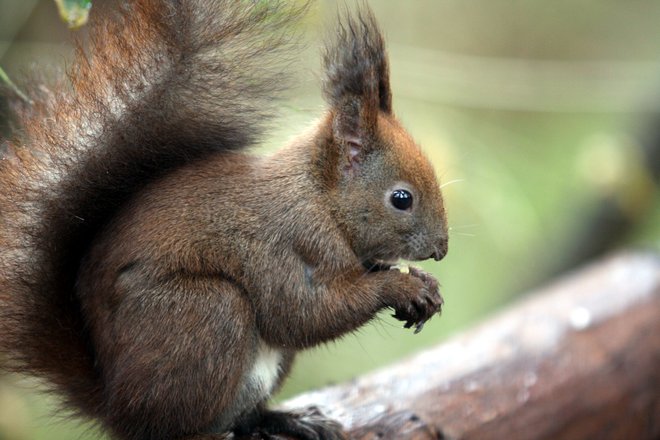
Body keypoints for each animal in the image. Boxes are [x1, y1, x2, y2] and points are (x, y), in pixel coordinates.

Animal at [0, 0, 448, 440]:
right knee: (175, 425)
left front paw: (425, 285)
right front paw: (401, 286)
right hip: (205, 312)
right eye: (402, 199)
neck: (320, 199)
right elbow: (304, 314)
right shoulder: (286, 242)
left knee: (244, 417)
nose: (441, 250)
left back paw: (290, 420)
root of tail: (114, 406)